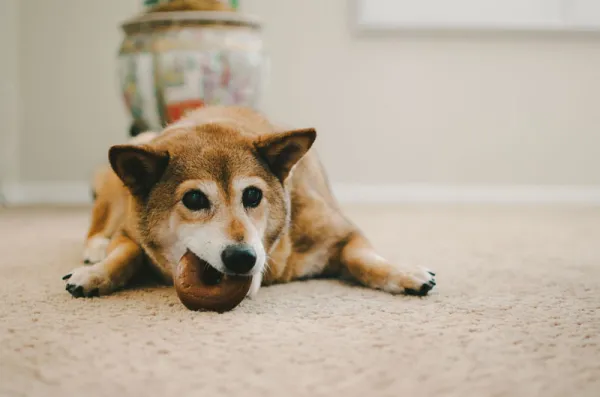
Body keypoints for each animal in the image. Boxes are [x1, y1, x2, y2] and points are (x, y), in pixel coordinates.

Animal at [62, 105, 436, 300]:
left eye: (253, 195)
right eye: (194, 198)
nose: (242, 258)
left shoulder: (342, 232)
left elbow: (365, 258)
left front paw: (404, 272)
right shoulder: (130, 233)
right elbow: (124, 254)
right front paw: (96, 274)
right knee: (99, 225)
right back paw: (95, 248)